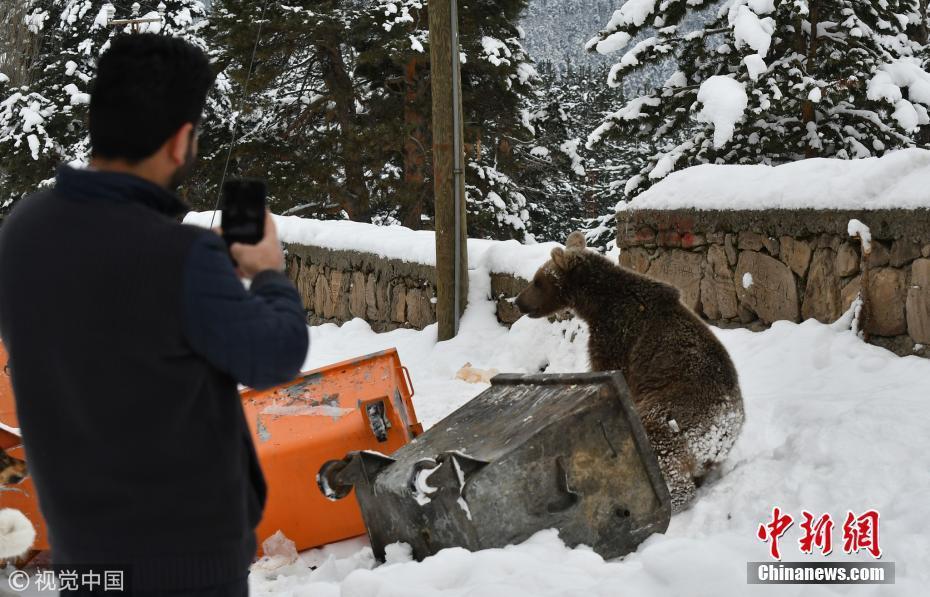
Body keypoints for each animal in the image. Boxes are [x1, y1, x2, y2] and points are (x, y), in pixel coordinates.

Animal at [516, 230, 740, 510]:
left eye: (537, 281)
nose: (518, 302)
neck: (598, 305)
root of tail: (723, 435)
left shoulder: (617, 336)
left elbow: (608, 371)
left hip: (675, 415)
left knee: (662, 450)